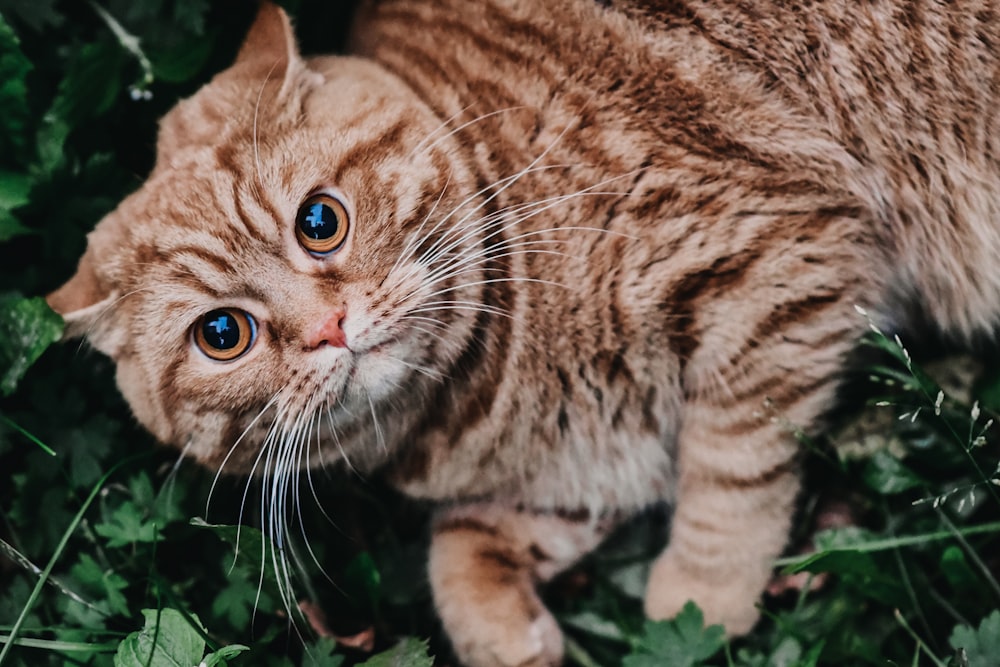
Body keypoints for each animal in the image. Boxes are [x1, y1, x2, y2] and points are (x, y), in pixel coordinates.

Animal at [45, 1, 1000, 667]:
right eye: (222, 333)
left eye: (320, 220)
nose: (329, 329)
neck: (477, 403)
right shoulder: (590, 464)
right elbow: (458, 550)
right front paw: (506, 635)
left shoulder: (773, 262)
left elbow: (733, 472)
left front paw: (698, 599)